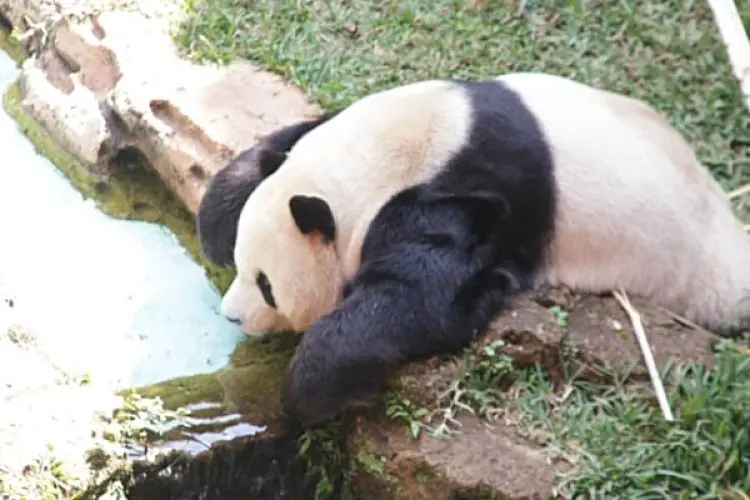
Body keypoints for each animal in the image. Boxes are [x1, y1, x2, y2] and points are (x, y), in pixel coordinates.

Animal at [217, 71, 750, 343]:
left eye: (267, 286)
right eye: (242, 267)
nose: (230, 317)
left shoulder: (464, 197)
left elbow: (420, 297)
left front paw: (310, 382)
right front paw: (220, 211)